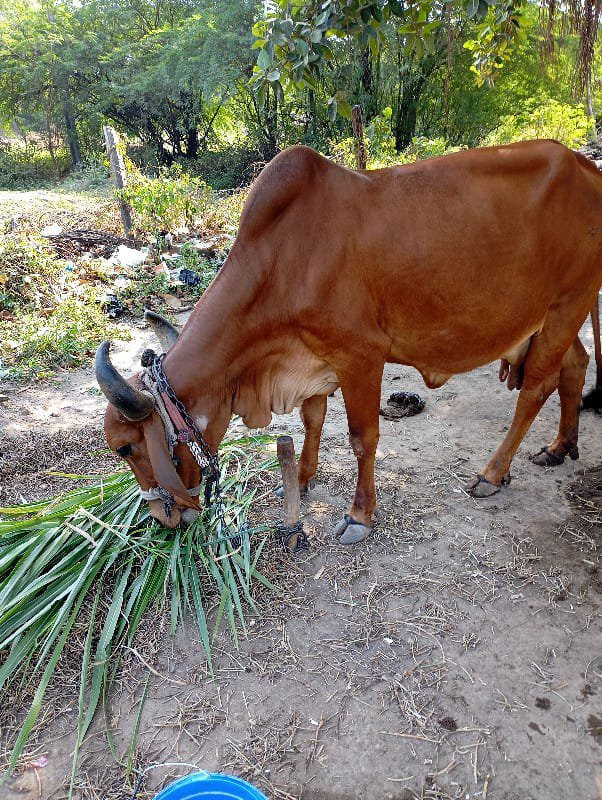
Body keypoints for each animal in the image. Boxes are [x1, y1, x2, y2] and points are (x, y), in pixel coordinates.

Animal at [94, 141, 600, 548]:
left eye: (125, 448)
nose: (161, 517)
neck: (280, 261)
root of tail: (584, 165)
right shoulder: (314, 358)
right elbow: (312, 420)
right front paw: (301, 478)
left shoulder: (361, 357)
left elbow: (362, 438)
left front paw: (359, 515)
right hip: (550, 319)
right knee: (576, 365)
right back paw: (560, 447)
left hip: (568, 304)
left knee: (535, 390)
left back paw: (492, 473)